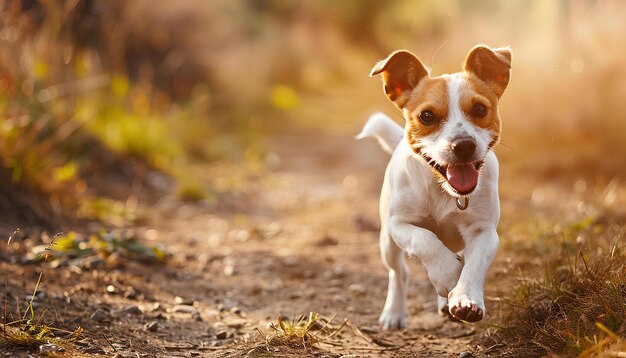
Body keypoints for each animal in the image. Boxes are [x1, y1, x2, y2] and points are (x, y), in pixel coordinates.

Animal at [356, 46, 512, 328]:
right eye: (426, 116)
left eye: (480, 109)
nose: (463, 145)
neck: (443, 190)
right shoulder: (400, 225)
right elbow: (425, 240)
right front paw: (449, 275)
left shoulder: (484, 231)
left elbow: (474, 265)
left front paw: (466, 297)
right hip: (387, 244)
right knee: (398, 273)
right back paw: (394, 312)